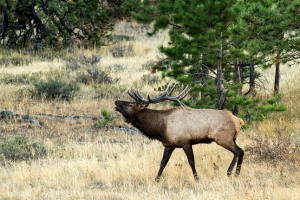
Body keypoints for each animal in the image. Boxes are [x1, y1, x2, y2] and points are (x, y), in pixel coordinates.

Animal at [115, 81, 244, 181]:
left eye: (131, 104)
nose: (116, 101)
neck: (161, 128)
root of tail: (239, 120)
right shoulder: (168, 145)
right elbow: (162, 163)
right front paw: (156, 179)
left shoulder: (185, 141)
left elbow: (191, 161)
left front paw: (197, 179)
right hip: (232, 138)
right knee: (241, 151)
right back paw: (237, 174)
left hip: (223, 138)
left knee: (238, 151)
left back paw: (229, 172)